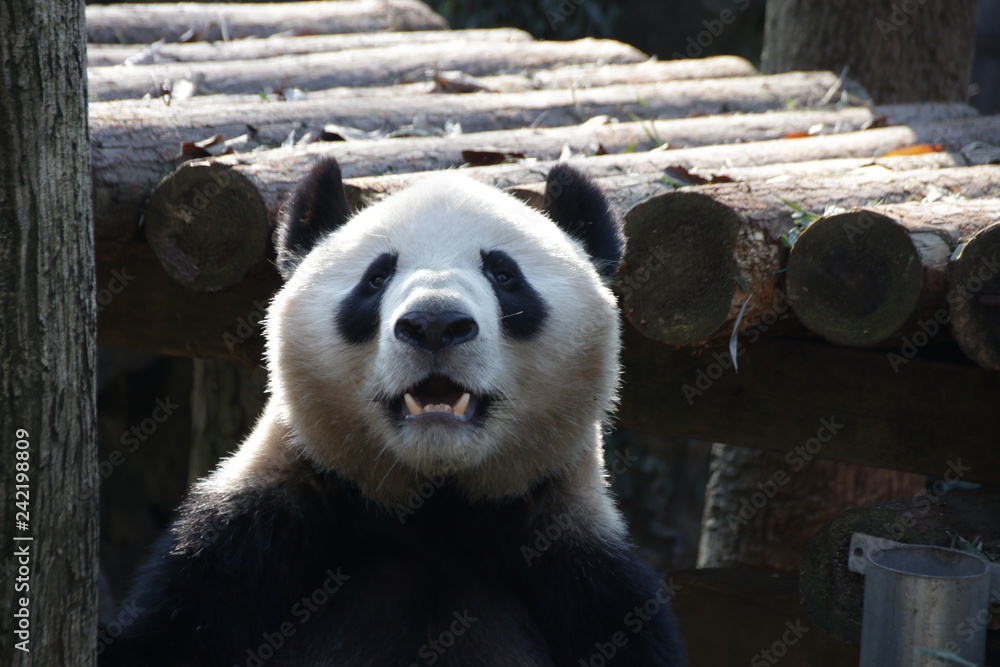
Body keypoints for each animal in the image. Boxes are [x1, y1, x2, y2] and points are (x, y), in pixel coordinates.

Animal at [100, 159, 683, 666]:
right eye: (377, 277)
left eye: (503, 274)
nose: (435, 323)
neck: (433, 509)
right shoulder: (248, 543)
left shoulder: (583, 571)